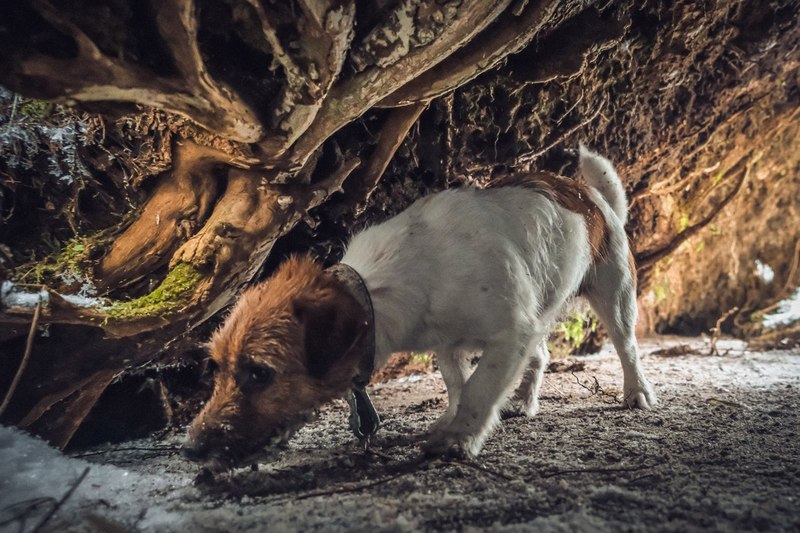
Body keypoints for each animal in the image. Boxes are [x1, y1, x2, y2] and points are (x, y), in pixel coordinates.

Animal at [181, 143, 656, 464]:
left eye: (259, 373)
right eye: (217, 368)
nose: (189, 450)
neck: (381, 286)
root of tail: (585, 192)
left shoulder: (509, 332)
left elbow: (478, 390)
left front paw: (459, 439)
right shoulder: (455, 343)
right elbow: (458, 384)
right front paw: (454, 420)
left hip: (615, 293)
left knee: (626, 346)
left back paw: (636, 392)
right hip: (538, 305)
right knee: (540, 354)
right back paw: (523, 400)